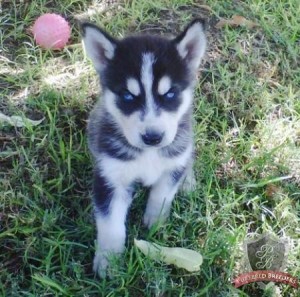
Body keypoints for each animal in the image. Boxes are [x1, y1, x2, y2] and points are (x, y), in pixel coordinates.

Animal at [80, 19, 206, 276]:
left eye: (170, 93)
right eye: (128, 96)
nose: (153, 137)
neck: (149, 154)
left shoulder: (171, 164)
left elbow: (162, 194)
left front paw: (155, 222)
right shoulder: (110, 178)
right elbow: (111, 224)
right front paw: (108, 261)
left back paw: (188, 180)